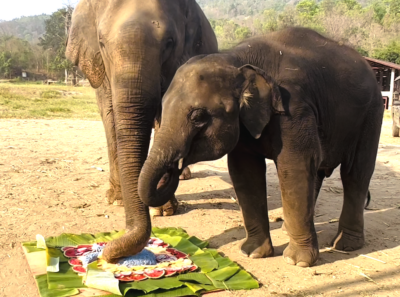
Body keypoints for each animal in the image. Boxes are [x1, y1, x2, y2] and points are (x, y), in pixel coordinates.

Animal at [65, 0, 217, 262]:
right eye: (101, 42)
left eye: (169, 42)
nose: (107, 253)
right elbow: (109, 115)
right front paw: (117, 200)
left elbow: (167, 117)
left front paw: (163, 211)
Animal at [138, 27, 384, 268]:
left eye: (198, 117)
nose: (175, 169)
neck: (236, 59)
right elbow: (245, 171)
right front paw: (253, 253)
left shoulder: (294, 108)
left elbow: (294, 166)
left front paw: (297, 261)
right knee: (318, 174)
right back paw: (288, 227)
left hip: (372, 113)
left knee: (355, 173)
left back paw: (345, 245)